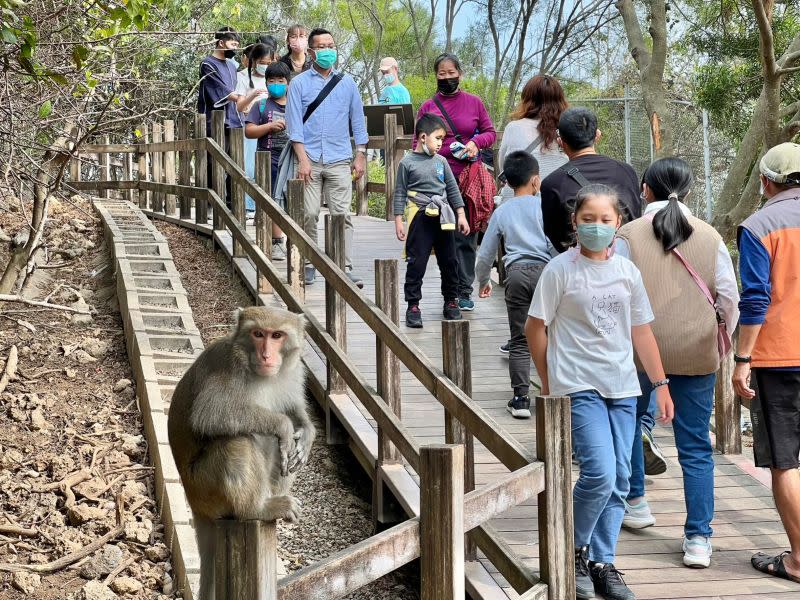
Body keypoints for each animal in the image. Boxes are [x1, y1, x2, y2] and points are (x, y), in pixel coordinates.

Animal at [168, 308, 316, 596]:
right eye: (258, 334)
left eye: (277, 335)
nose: (266, 355)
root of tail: (193, 502)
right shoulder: (228, 366)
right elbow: (210, 413)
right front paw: (283, 426)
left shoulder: (294, 373)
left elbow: (293, 410)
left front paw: (306, 432)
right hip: (205, 487)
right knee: (236, 439)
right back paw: (257, 508)